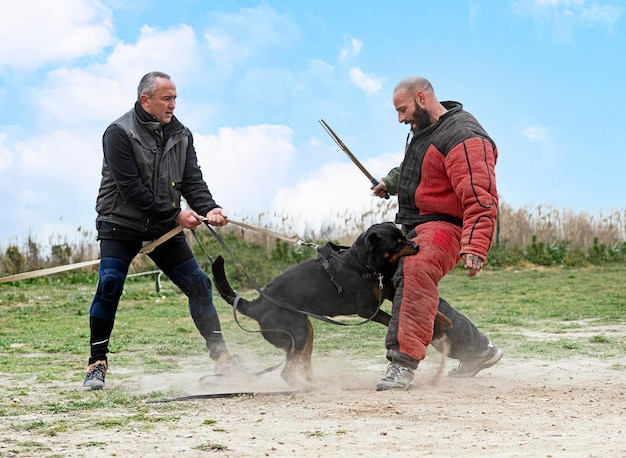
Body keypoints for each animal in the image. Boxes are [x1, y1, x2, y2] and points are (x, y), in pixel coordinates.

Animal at [212, 222, 446, 386]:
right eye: (396, 243)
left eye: (404, 237)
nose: (416, 245)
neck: (363, 264)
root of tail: (257, 305)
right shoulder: (368, 309)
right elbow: (389, 319)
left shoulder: (387, 290)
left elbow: (428, 307)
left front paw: (443, 321)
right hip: (297, 333)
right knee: (287, 372)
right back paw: (305, 387)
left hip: (306, 333)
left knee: (302, 365)